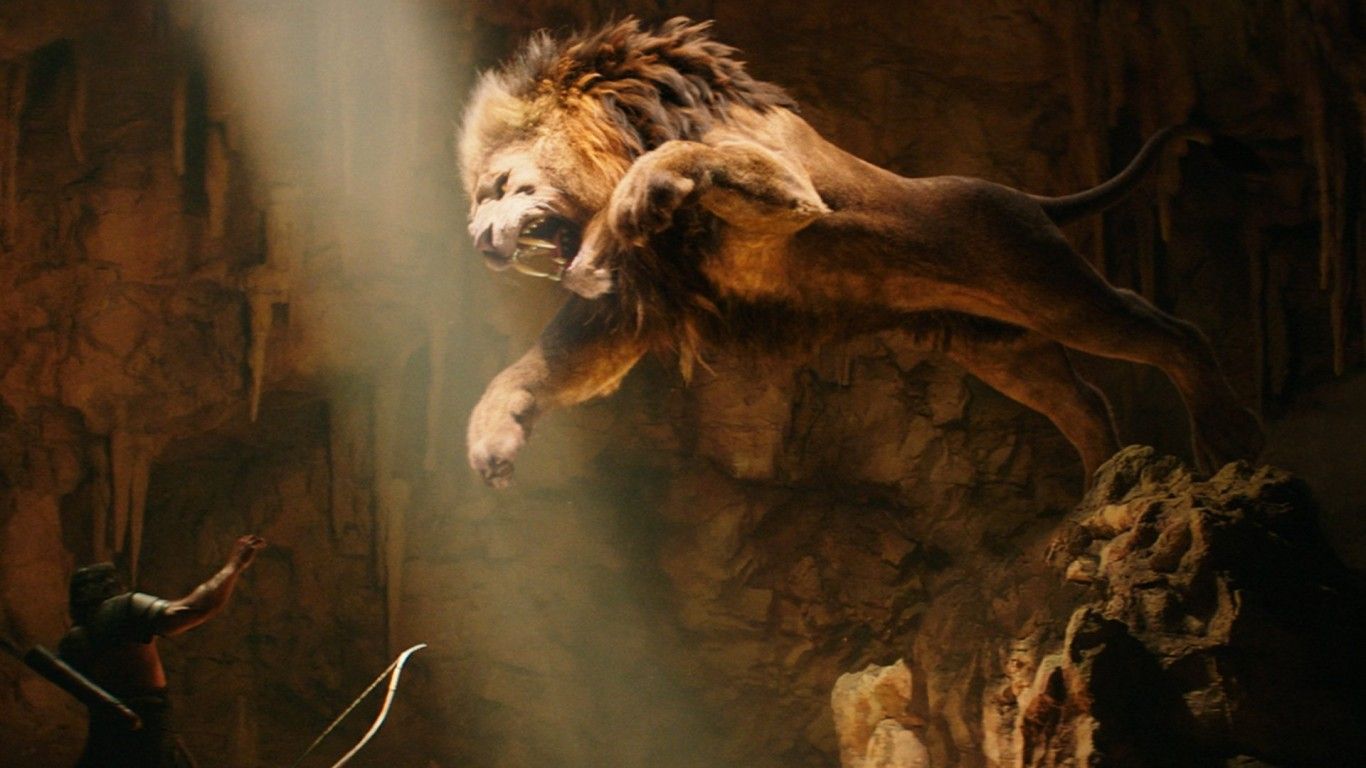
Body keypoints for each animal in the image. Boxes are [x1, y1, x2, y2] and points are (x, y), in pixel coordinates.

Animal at [458, 16, 1264, 489]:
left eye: (497, 186)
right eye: (478, 198)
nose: (474, 240)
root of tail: (1033, 199)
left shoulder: (790, 191)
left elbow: (679, 159)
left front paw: (632, 201)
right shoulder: (635, 305)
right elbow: (541, 364)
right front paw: (494, 434)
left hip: (1055, 291)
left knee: (1171, 331)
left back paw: (1226, 439)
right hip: (1007, 348)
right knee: (1086, 400)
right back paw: (1103, 485)